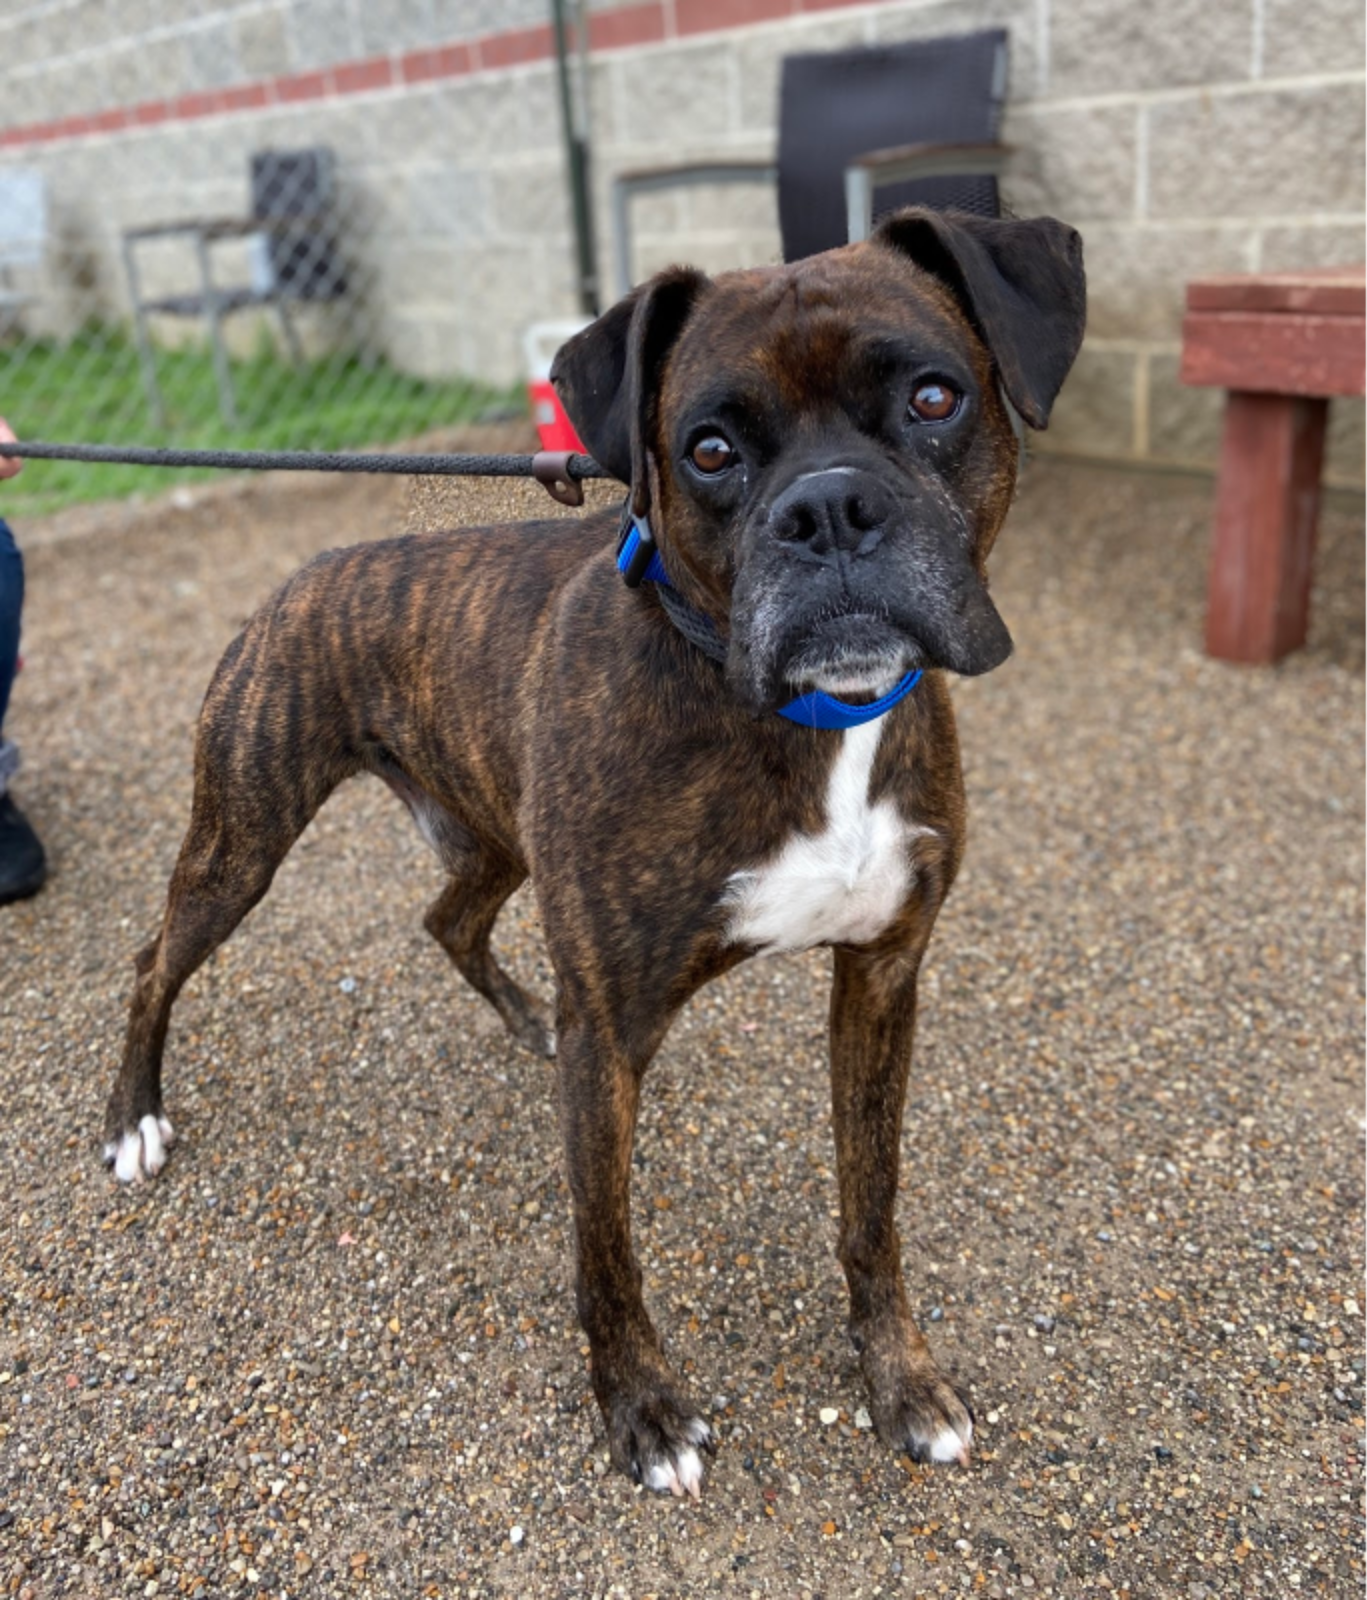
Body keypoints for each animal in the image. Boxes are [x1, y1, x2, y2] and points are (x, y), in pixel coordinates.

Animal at [104, 206, 1085, 1498]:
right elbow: (606, 1249)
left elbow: (869, 1208)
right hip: (240, 842)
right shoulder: (616, 1028)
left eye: (933, 396)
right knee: (155, 961)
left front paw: (899, 1377)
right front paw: (642, 1410)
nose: (825, 509)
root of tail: (303, 577)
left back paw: (526, 1020)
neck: (803, 722)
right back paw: (133, 1118)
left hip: (489, 835)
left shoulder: (881, 979)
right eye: (708, 448)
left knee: (447, 920)